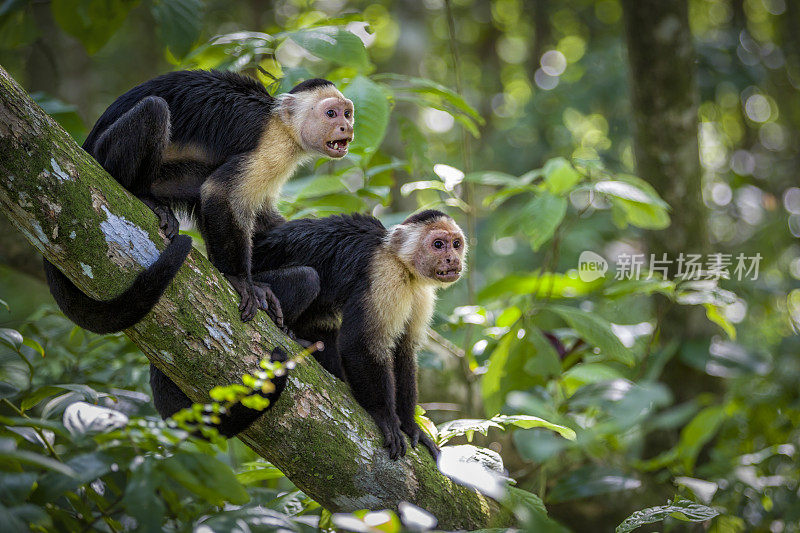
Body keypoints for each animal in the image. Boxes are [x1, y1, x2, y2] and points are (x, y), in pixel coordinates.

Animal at [150, 210, 466, 460]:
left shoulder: (420, 292)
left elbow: (403, 351)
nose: (452, 259)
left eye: (456, 244)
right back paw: (285, 328)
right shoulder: (383, 275)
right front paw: (386, 418)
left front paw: (410, 426)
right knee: (306, 278)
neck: (402, 263)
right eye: (438, 244)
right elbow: (359, 345)